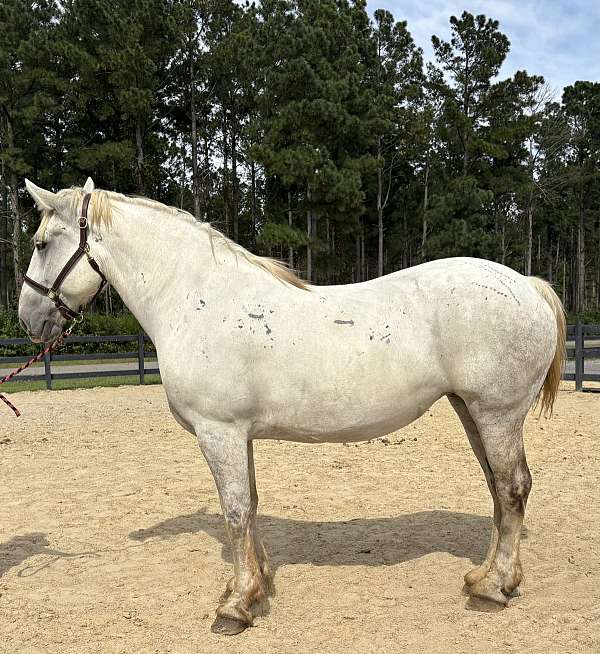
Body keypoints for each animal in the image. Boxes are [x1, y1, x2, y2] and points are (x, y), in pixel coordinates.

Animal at [18, 178, 566, 635]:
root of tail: (529, 286)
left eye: (42, 244)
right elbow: (251, 504)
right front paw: (255, 587)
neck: (196, 299)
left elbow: (235, 510)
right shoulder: (238, 435)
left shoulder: (218, 431)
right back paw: (487, 578)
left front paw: (235, 606)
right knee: (498, 491)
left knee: (512, 489)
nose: (27, 319)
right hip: (470, 411)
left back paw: (494, 589)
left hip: (496, 413)